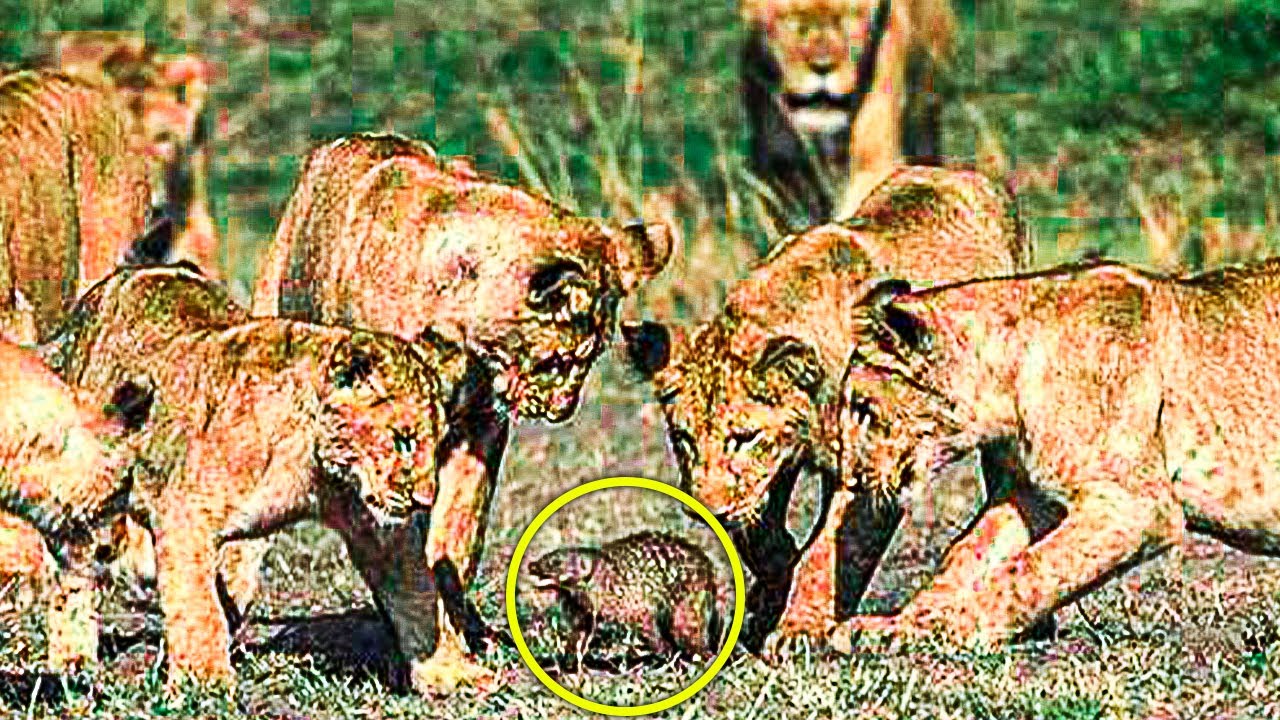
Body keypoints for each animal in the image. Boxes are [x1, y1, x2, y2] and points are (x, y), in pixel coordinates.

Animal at [41, 264, 460, 687]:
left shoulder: (376, 527)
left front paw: (452, 672)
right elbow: (196, 601)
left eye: (437, 441)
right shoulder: (185, 511)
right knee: (73, 576)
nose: (425, 501)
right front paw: (205, 677)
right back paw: (72, 660)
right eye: (402, 440)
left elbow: (417, 593)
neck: (310, 464)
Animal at [251, 132, 671, 691]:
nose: (563, 410)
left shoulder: (479, 430)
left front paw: (459, 627)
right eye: (557, 361)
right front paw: (446, 669)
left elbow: (456, 535)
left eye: (593, 358)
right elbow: (405, 571)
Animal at [622, 165, 1033, 652]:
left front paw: (797, 629)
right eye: (682, 438)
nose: (707, 510)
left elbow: (830, 552)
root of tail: (965, 172)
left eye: (743, 438)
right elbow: (761, 534)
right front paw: (772, 584)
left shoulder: (870, 465)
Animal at [821, 255, 1280, 651]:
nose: (851, 478)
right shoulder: (1028, 496)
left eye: (863, 407)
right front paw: (898, 625)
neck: (1007, 378)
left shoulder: (1136, 506)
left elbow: (1029, 571)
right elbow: (966, 554)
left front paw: (952, 626)